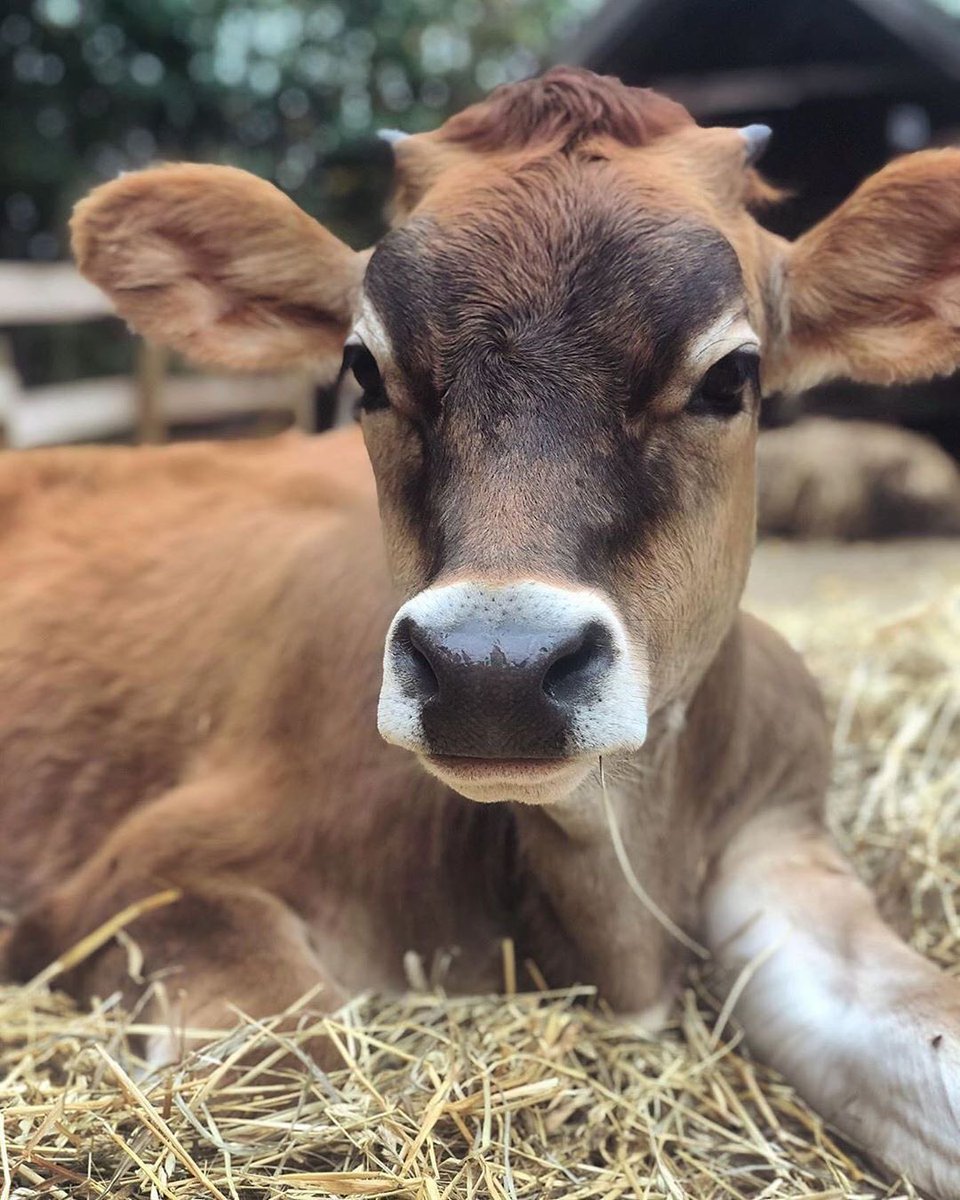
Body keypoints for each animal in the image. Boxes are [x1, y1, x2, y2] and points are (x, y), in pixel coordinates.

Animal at [3, 67, 960, 1195]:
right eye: (366, 371)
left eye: (731, 376)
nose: (492, 671)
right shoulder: (140, 876)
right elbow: (293, 1058)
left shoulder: (782, 837)